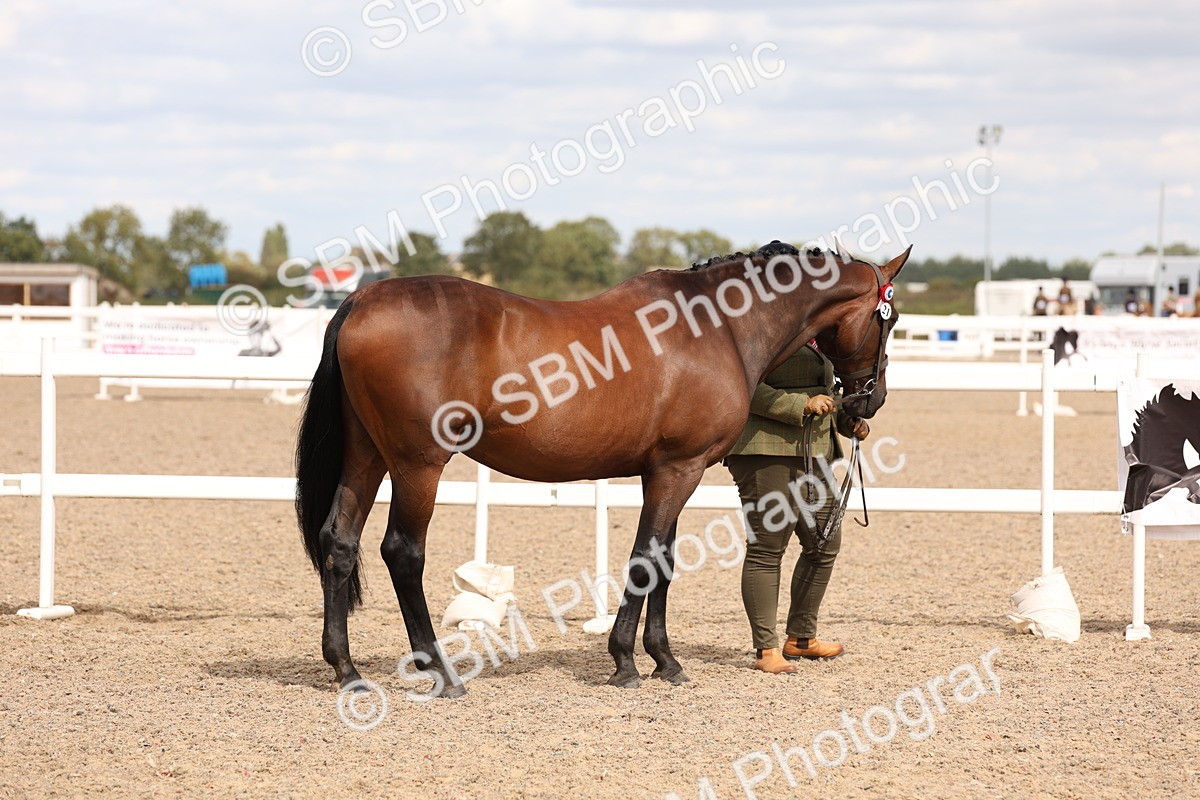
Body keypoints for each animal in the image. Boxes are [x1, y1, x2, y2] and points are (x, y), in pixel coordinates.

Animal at [295, 240, 910, 697]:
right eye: (892, 318)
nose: (870, 401)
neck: (719, 328)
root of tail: (360, 300)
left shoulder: (667, 470)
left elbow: (663, 560)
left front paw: (664, 660)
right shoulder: (678, 469)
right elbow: (645, 559)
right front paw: (626, 662)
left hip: (367, 456)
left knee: (339, 542)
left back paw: (346, 670)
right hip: (417, 463)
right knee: (402, 552)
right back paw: (442, 673)